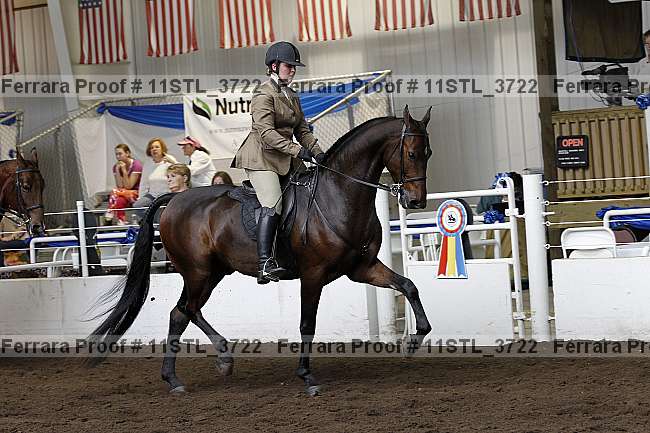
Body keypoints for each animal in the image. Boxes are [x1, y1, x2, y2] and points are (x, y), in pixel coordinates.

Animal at [88, 106, 433, 396]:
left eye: (428, 153)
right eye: (411, 153)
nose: (415, 201)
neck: (338, 195)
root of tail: (174, 199)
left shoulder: (362, 268)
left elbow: (409, 286)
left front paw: (416, 338)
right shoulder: (313, 274)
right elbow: (307, 324)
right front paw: (306, 376)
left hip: (212, 272)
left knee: (184, 312)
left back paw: (199, 368)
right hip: (198, 271)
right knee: (184, 311)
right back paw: (198, 368)